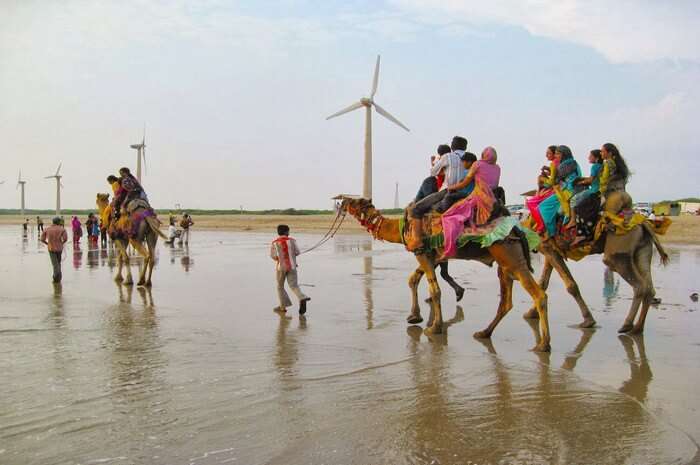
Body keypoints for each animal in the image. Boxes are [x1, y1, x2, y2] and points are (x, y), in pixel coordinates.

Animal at [334, 196, 552, 352]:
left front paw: (434, 328)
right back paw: (484, 333)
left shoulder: (421, 252)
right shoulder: (432, 256)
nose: (341, 202)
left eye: (354, 201)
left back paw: (543, 345)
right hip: (504, 264)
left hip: (510, 257)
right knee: (505, 302)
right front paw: (415, 316)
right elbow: (414, 280)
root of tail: (516, 227)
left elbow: (434, 289)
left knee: (539, 295)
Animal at [524, 190, 668, 336]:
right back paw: (638, 328)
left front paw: (588, 321)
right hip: (643, 249)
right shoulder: (550, 249)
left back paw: (627, 325)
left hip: (618, 252)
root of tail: (642, 222)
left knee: (639, 285)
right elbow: (543, 283)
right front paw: (531, 313)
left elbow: (571, 286)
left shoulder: (547, 248)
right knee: (649, 288)